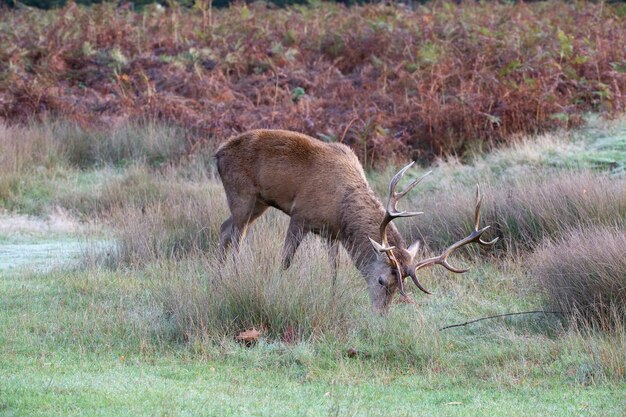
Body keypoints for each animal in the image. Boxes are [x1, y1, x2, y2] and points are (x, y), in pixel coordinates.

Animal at [216, 130, 498, 312]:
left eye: (400, 285)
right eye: (382, 280)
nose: (380, 313)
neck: (342, 209)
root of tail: (218, 153)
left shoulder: (332, 233)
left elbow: (334, 269)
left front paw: (332, 297)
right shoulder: (300, 216)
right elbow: (285, 261)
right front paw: (279, 286)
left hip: (258, 203)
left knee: (224, 228)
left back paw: (217, 277)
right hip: (241, 192)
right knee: (237, 236)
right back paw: (234, 277)